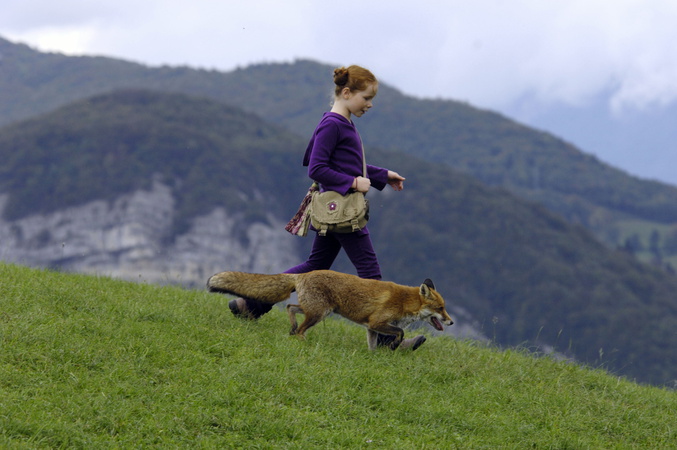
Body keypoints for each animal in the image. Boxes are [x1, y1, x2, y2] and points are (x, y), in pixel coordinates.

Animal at [206, 269, 454, 350]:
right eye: (440, 308)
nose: (451, 322)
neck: (405, 302)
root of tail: (303, 274)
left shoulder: (371, 328)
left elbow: (373, 347)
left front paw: (376, 357)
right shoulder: (377, 322)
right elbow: (400, 332)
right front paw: (394, 346)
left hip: (317, 311)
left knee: (290, 307)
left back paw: (291, 328)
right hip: (318, 314)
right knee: (300, 328)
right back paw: (301, 341)